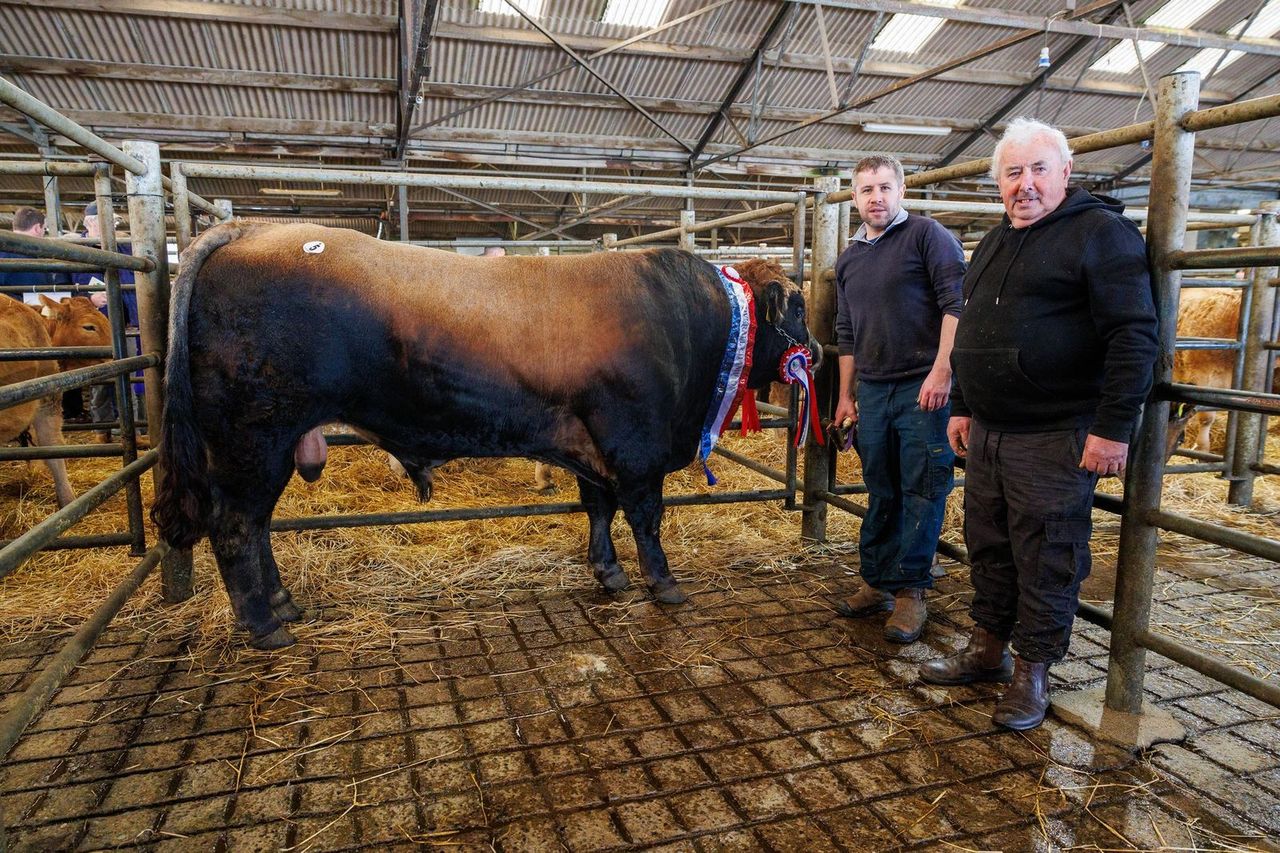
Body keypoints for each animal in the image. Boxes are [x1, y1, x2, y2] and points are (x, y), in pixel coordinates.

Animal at [152, 223, 819, 650]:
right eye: (798, 306)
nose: (813, 351)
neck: (690, 319)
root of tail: (252, 229)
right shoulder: (635, 444)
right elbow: (645, 517)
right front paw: (664, 583)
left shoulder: (590, 447)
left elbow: (597, 509)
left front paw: (608, 573)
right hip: (254, 438)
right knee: (237, 527)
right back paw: (265, 625)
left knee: (255, 526)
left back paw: (284, 602)